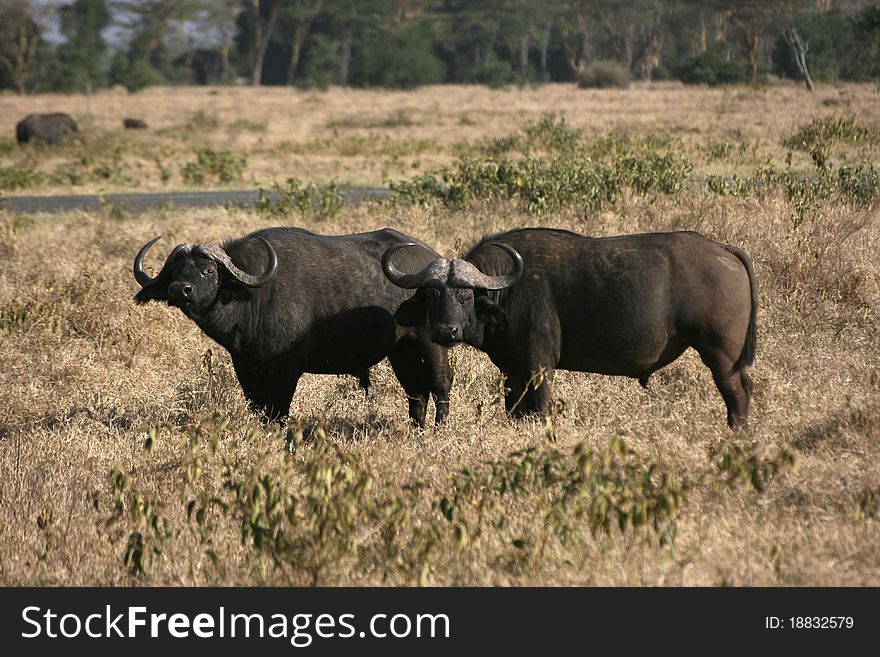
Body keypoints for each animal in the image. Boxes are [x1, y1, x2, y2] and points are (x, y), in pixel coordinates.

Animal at [138, 228, 454, 428]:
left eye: (209, 270)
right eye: (175, 271)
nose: (180, 289)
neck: (253, 299)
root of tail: (431, 260)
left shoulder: (286, 370)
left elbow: (278, 412)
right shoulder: (246, 369)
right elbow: (260, 410)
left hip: (430, 342)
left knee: (440, 382)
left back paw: (438, 430)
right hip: (401, 349)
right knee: (416, 389)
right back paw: (417, 430)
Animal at [384, 228, 756, 428]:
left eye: (464, 295)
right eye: (432, 295)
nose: (445, 332)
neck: (510, 291)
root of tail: (722, 250)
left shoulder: (539, 368)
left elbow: (539, 409)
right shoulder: (512, 372)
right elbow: (515, 411)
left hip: (722, 355)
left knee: (737, 393)